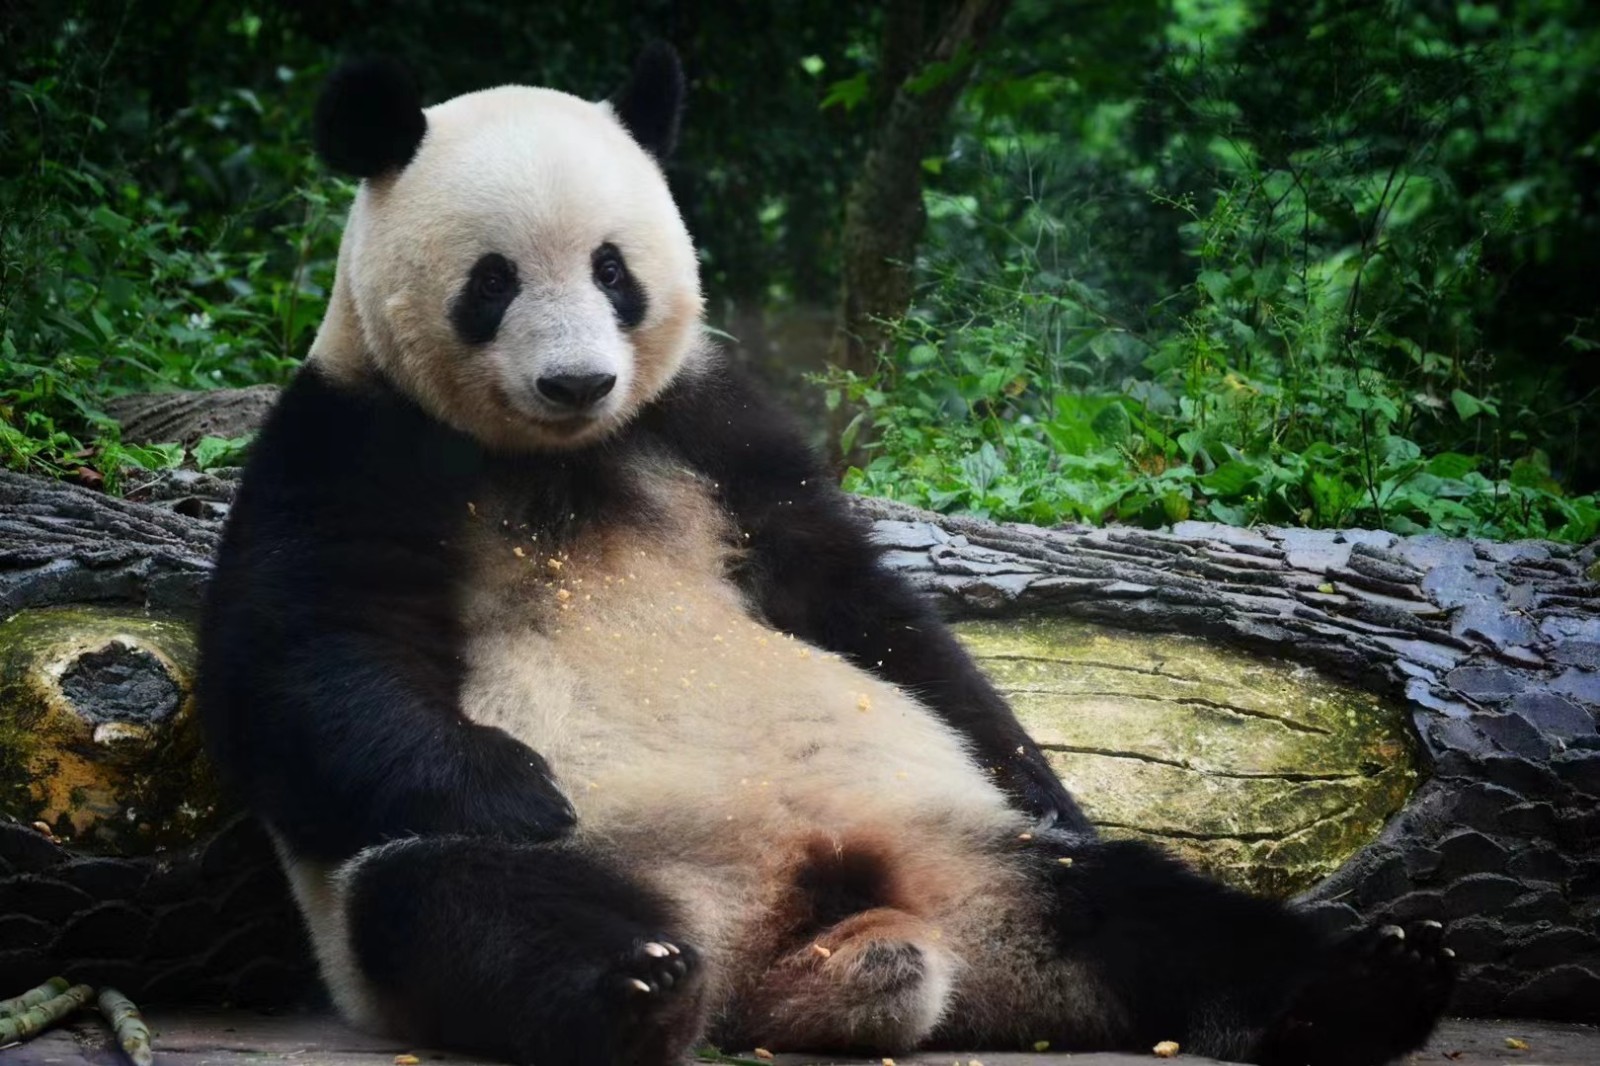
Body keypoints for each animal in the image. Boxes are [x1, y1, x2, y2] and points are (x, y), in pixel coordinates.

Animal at [193, 43, 1459, 1062]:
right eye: (492, 281)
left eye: (612, 269)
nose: (577, 380)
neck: (557, 456)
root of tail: (802, 945)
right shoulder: (349, 440)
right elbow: (302, 670)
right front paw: (517, 784)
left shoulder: (710, 427)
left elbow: (861, 604)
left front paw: (1049, 779)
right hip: (566, 874)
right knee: (458, 903)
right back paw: (632, 986)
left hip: (973, 861)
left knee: (1144, 908)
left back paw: (1368, 986)